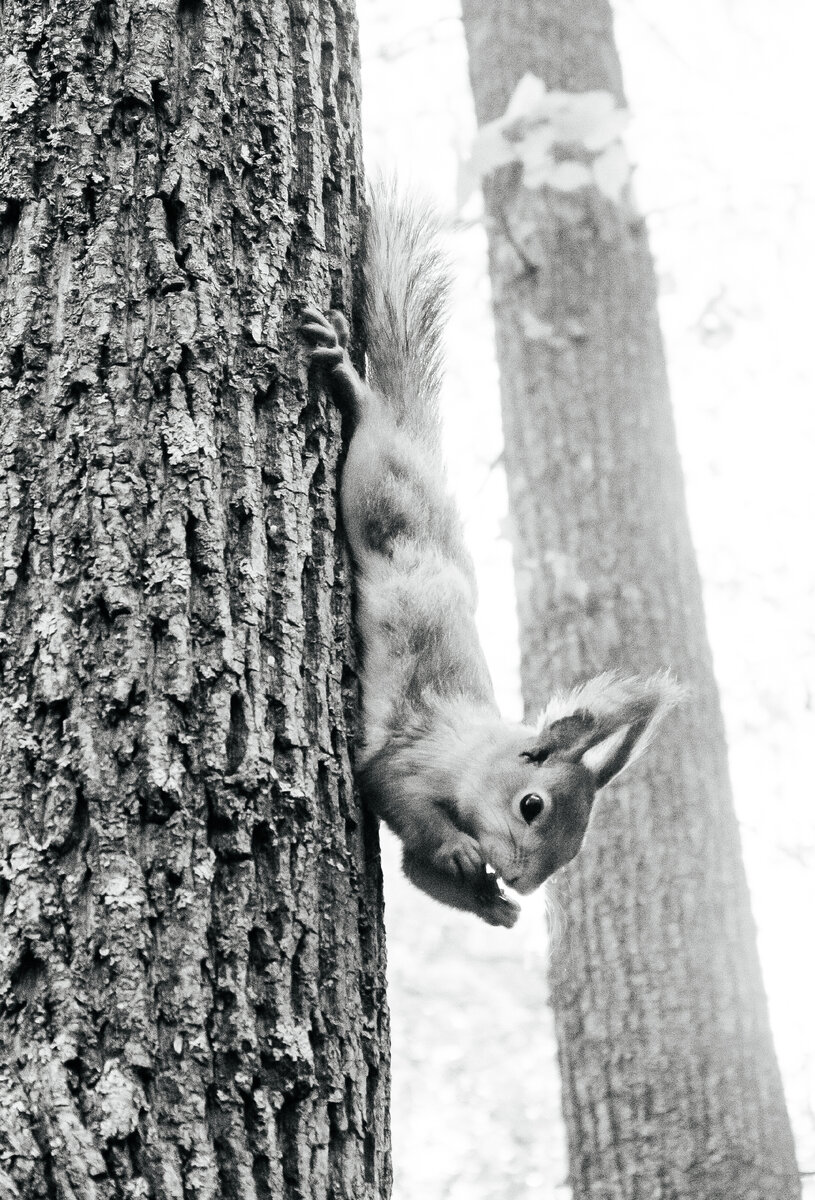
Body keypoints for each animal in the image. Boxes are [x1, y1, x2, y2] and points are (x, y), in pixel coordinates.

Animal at [301, 187, 681, 926]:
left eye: (572, 851)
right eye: (531, 806)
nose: (521, 881)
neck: (476, 753)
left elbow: (419, 873)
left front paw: (492, 905)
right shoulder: (413, 756)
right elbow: (392, 790)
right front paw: (462, 856)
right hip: (382, 489)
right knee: (376, 432)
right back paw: (350, 381)